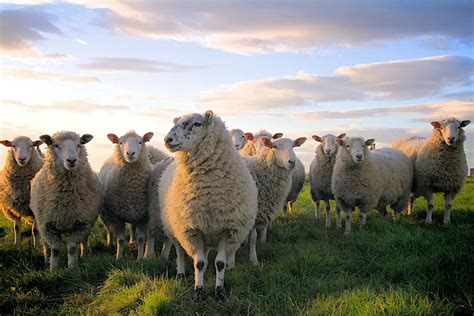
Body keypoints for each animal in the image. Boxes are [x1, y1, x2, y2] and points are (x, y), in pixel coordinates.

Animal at [29, 131, 100, 270]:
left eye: (79, 145)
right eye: (56, 145)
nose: (71, 160)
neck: (66, 198)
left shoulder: (82, 224)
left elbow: (72, 248)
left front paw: (72, 267)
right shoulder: (46, 226)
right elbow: (55, 249)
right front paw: (53, 269)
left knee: (84, 241)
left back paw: (84, 255)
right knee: (46, 246)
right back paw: (46, 260)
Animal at [98, 130, 154, 260]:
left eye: (140, 141)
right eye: (121, 142)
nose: (130, 153)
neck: (132, 188)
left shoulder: (144, 216)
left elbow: (141, 239)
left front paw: (140, 258)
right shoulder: (116, 216)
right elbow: (120, 240)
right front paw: (119, 257)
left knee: (133, 228)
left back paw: (132, 241)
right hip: (105, 215)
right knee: (109, 231)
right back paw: (110, 245)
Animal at [159, 111, 258, 302]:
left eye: (197, 123)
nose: (168, 139)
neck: (209, 193)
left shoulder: (228, 229)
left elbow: (218, 263)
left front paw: (219, 291)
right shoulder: (192, 229)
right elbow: (199, 263)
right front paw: (198, 290)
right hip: (175, 228)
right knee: (180, 251)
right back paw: (181, 273)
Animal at [244, 136, 308, 264]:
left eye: (293, 146)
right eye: (275, 146)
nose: (292, 162)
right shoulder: (254, 210)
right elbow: (253, 237)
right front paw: (254, 260)